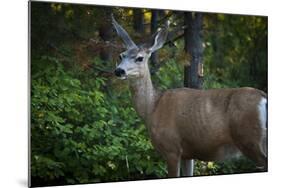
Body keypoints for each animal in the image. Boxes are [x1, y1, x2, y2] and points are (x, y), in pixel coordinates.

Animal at [110, 15, 266, 178]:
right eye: (121, 56)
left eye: (140, 58)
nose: (119, 71)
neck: (153, 107)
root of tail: (263, 97)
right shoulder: (187, 154)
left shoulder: (171, 148)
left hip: (249, 139)